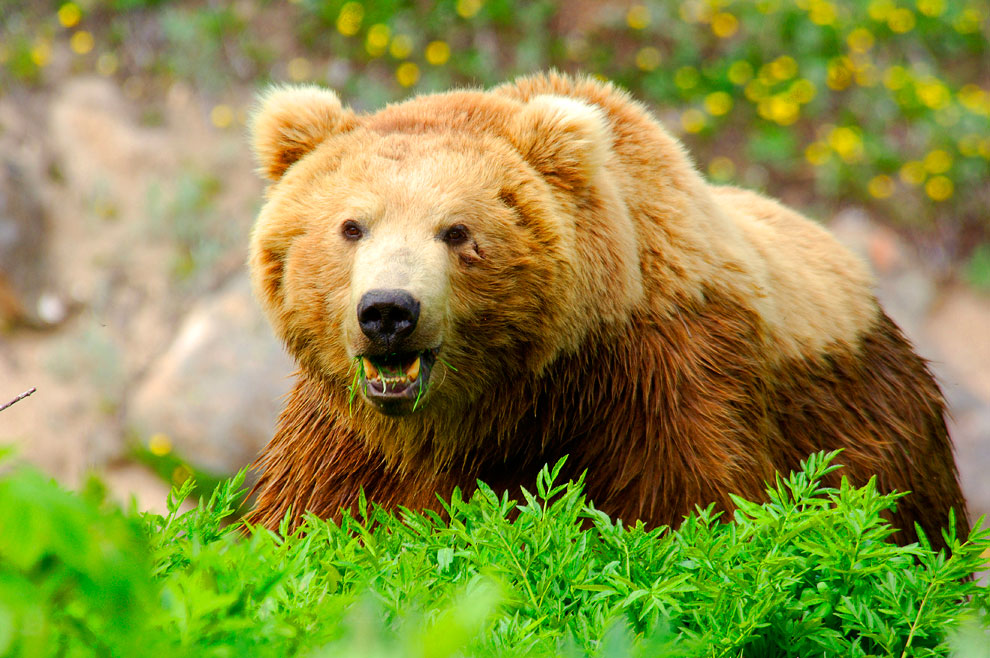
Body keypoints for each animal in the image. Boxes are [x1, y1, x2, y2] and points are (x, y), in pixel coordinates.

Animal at [246, 72, 968, 550]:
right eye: (351, 226)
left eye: (456, 231)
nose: (389, 311)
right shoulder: (346, 434)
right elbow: (308, 521)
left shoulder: (663, 387)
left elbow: (693, 513)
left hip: (877, 430)